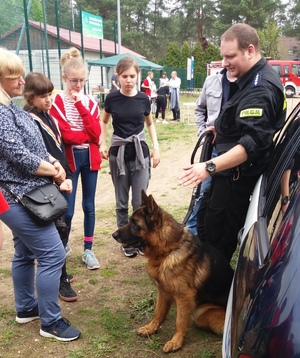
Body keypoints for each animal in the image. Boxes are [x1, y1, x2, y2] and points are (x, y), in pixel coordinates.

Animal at [112, 190, 234, 352]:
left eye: (134, 224)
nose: (113, 235)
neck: (168, 250)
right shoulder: (163, 291)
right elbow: (158, 313)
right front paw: (151, 328)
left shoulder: (184, 296)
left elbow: (180, 322)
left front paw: (176, 341)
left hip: (202, 313)